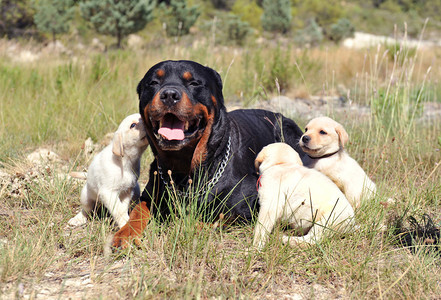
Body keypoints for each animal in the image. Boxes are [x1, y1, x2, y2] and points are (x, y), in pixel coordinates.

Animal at [111, 60, 304, 248]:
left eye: (194, 83)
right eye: (153, 83)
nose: (169, 95)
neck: (184, 167)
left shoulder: (250, 202)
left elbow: (215, 219)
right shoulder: (151, 191)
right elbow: (138, 210)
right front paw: (125, 234)